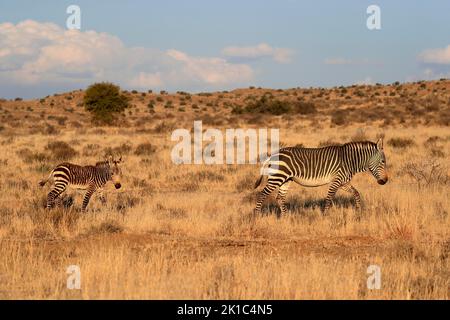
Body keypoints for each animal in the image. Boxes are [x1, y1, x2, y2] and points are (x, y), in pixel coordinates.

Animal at [255, 138, 388, 215]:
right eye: (383, 162)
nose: (385, 181)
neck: (349, 161)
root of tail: (273, 155)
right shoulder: (336, 180)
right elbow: (329, 198)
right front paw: (325, 216)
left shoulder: (343, 182)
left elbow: (356, 193)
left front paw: (358, 212)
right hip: (277, 177)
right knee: (262, 194)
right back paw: (256, 216)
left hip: (286, 180)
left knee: (279, 198)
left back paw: (286, 218)